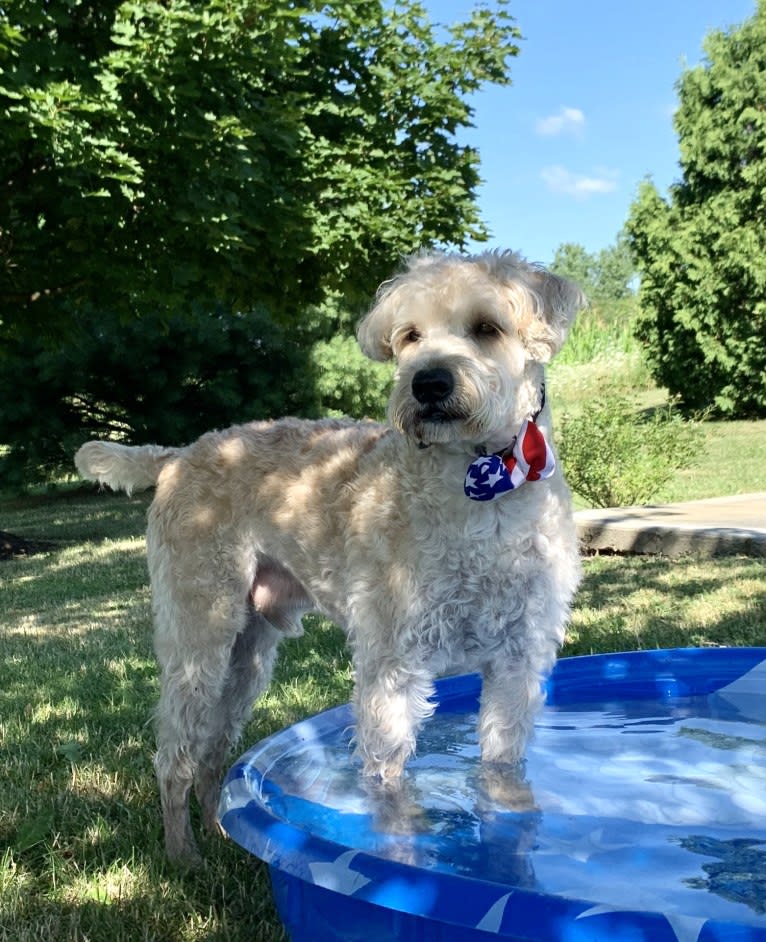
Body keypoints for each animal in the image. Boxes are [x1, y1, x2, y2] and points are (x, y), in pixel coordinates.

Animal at [75, 249, 584, 864]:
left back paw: (220, 834)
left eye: (488, 327)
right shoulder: (392, 666)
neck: (484, 489)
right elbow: (388, 780)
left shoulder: (517, 662)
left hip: (247, 656)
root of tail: (178, 454)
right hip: (201, 634)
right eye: (410, 335)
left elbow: (502, 773)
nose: (428, 383)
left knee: (212, 755)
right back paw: (183, 854)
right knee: (175, 754)